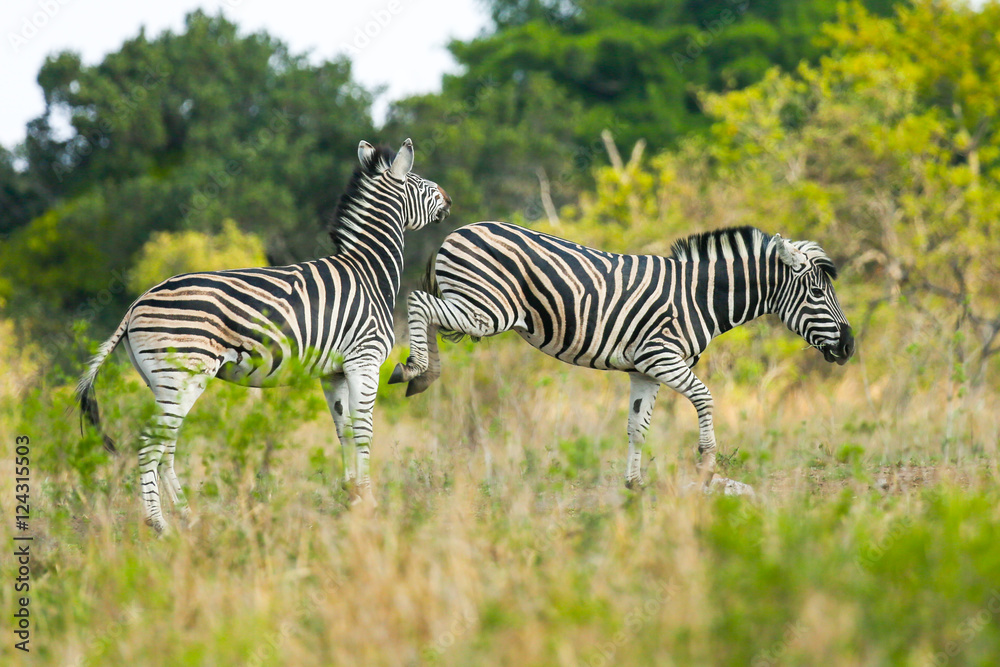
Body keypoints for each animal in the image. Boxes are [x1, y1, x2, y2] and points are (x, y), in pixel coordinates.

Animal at [77, 138, 451, 532]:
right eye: (418, 180)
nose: (448, 198)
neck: (368, 271)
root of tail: (136, 303)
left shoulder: (334, 372)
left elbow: (344, 430)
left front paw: (353, 499)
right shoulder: (364, 360)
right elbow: (363, 430)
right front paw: (370, 504)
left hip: (163, 383)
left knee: (166, 447)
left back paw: (188, 518)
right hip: (181, 376)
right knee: (150, 446)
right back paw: (160, 526)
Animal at [389, 222, 854, 488]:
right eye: (817, 294)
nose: (849, 346)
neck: (698, 297)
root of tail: (458, 231)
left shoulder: (644, 370)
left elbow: (636, 428)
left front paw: (634, 486)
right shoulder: (662, 357)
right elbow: (706, 399)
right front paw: (707, 464)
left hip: (476, 306)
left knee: (428, 313)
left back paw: (422, 374)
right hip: (487, 310)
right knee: (417, 302)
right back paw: (414, 369)